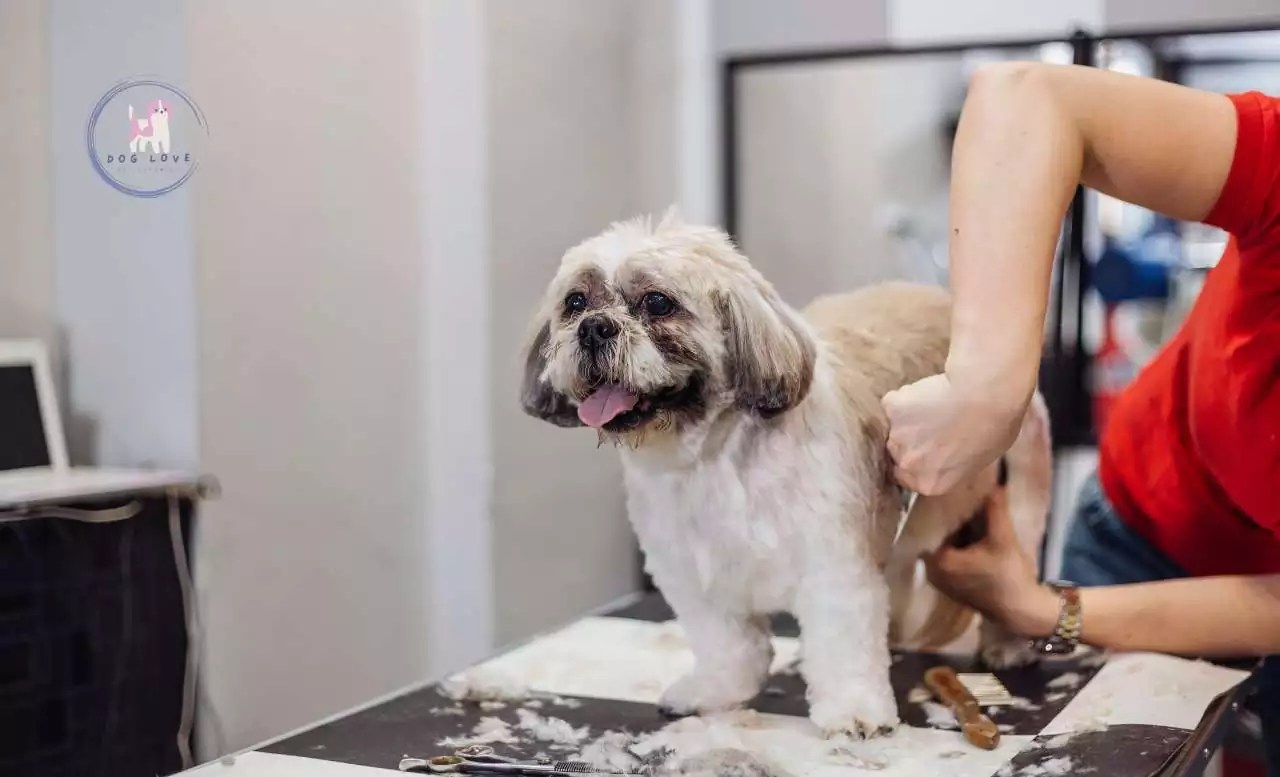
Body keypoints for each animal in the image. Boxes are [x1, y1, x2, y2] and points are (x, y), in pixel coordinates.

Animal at [520, 212, 1051, 738]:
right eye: (574, 302)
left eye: (657, 302)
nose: (594, 328)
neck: (712, 460)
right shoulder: (694, 575)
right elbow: (729, 646)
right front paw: (715, 690)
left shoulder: (834, 568)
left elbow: (842, 644)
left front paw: (855, 710)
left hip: (1020, 487)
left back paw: (1006, 644)